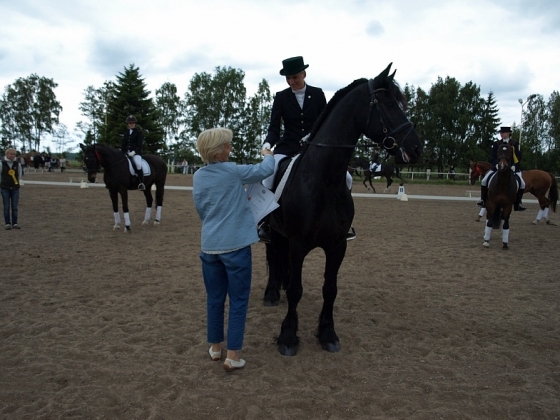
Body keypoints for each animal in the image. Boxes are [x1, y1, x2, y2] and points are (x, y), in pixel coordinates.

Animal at [264, 64, 422, 356]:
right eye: (388, 103)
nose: (416, 148)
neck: (324, 180)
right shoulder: (299, 244)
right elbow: (295, 290)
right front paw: (288, 337)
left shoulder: (337, 246)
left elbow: (330, 289)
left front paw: (328, 334)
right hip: (274, 233)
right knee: (273, 256)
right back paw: (270, 295)